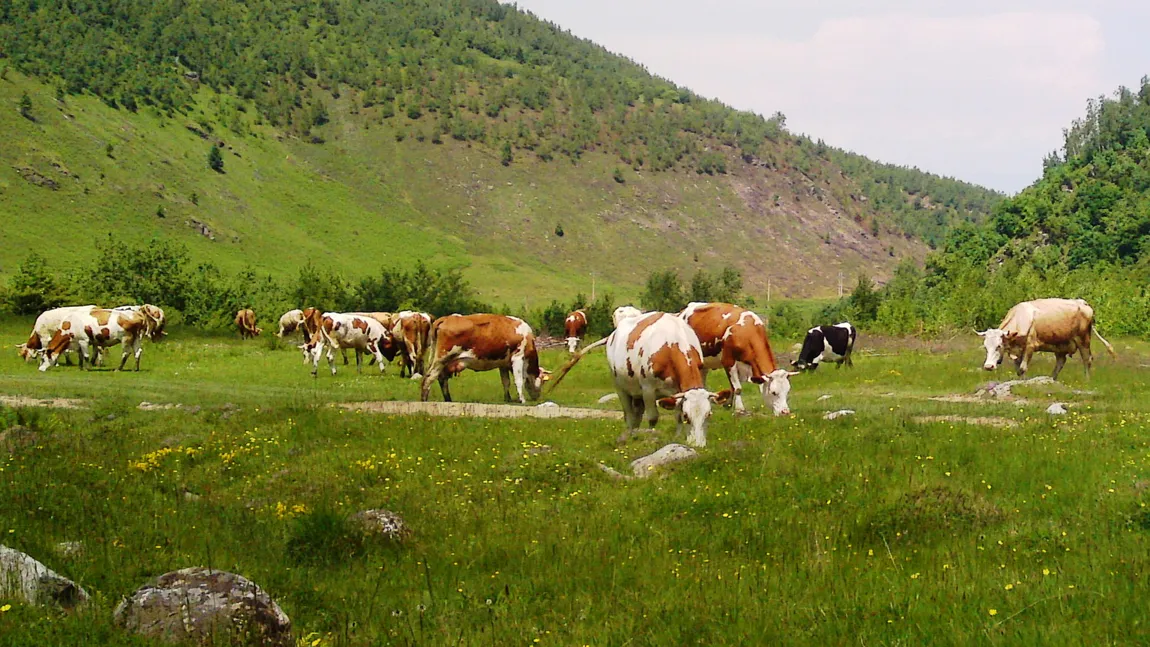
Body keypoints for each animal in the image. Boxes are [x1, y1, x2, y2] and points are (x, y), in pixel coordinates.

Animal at [38, 307, 166, 372]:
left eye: (43, 359)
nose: (40, 369)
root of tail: (138, 314)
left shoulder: (84, 340)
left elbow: (86, 355)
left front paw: (87, 368)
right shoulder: (77, 342)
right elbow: (80, 355)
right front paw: (80, 367)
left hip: (126, 338)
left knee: (126, 353)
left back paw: (119, 368)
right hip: (136, 338)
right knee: (138, 352)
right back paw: (136, 369)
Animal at [420, 314, 549, 404]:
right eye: (543, 381)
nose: (537, 397)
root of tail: (446, 318)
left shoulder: (503, 364)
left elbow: (505, 382)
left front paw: (508, 399)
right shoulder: (518, 357)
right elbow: (518, 380)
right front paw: (522, 400)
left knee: (442, 379)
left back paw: (448, 400)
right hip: (442, 358)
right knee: (429, 377)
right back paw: (424, 400)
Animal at [979, 296, 1113, 381]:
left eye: (999, 346)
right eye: (986, 347)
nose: (988, 366)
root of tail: (1082, 302)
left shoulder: (1030, 347)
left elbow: (1022, 368)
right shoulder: (1018, 350)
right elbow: (1018, 369)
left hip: (1083, 339)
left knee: (1087, 359)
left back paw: (1087, 380)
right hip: (1061, 345)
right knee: (1060, 362)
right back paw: (1052, 378)